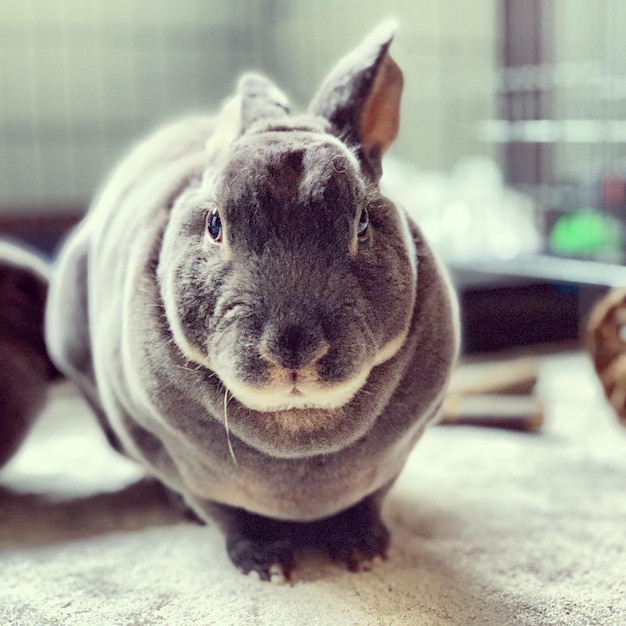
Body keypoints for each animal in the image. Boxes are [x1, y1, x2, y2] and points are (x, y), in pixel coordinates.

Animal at [41, 24, 456, 580]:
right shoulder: (180, 463)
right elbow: (227, 516)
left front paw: (363, 550)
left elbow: (369, 502)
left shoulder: (395, 460)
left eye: (363, 223)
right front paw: (266, 564)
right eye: (215, 224)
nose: (293, 347)